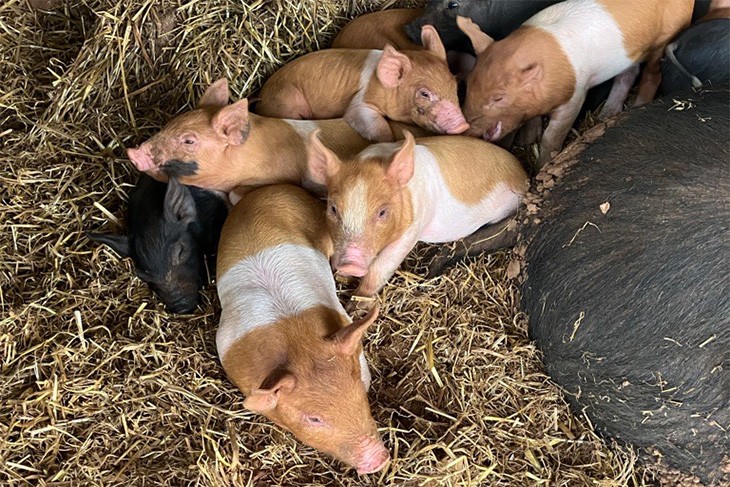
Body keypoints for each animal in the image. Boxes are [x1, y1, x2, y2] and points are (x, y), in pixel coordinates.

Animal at [256, 26, 469, 142]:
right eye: (424, 93)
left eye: (455, 86)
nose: (462, 126)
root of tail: (261, 97)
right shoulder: (361, 102)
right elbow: (378, 127)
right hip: (286, 101)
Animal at [306, 131, 528, 297]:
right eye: (333, 208)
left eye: (382, 212)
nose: (350, 265)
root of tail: (522, 172)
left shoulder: (414, 226)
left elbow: (382, 266)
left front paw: (358, 303)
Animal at [458, 0, 694, 168]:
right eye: (468, 85)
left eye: (498, 97)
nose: (465, 128)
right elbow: (532, 119)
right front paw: (527, 139)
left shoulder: (575, 96)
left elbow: (552, 137)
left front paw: (542, 166)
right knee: (629, 72)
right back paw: (606, 114)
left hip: (668, 33)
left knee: (652, 73)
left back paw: (637, 106)